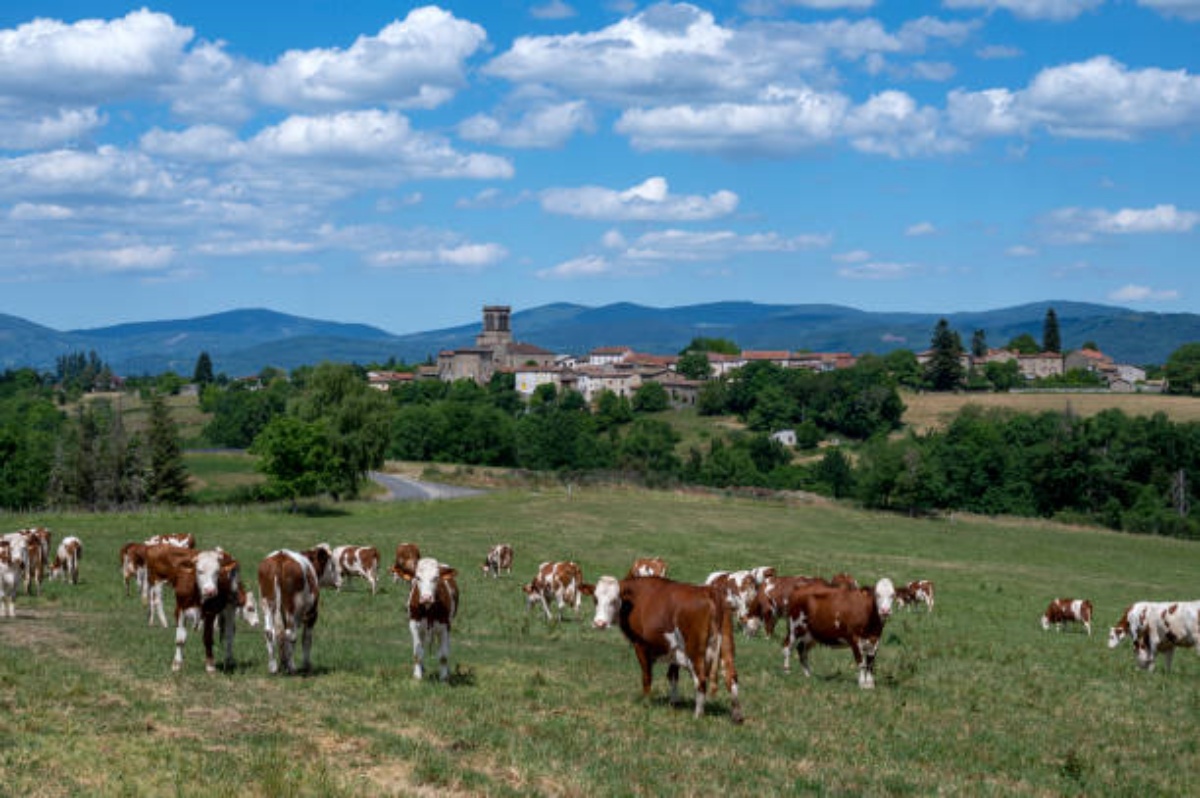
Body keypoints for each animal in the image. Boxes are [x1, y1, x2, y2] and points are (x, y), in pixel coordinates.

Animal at [588, 573, 744, 720]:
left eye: (614, 600)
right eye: (595, 599)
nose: (599, 623)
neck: (637, 598)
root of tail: (709, 591)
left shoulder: (641, 645)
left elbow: (647, 676)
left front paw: (646, 703)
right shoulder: (675, 649)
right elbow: (673, 675)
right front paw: (674, 702)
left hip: (694, 651)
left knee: (700, 679)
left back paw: (698, 715)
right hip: (726, 645)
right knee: (731, 676)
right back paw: (737, 715)